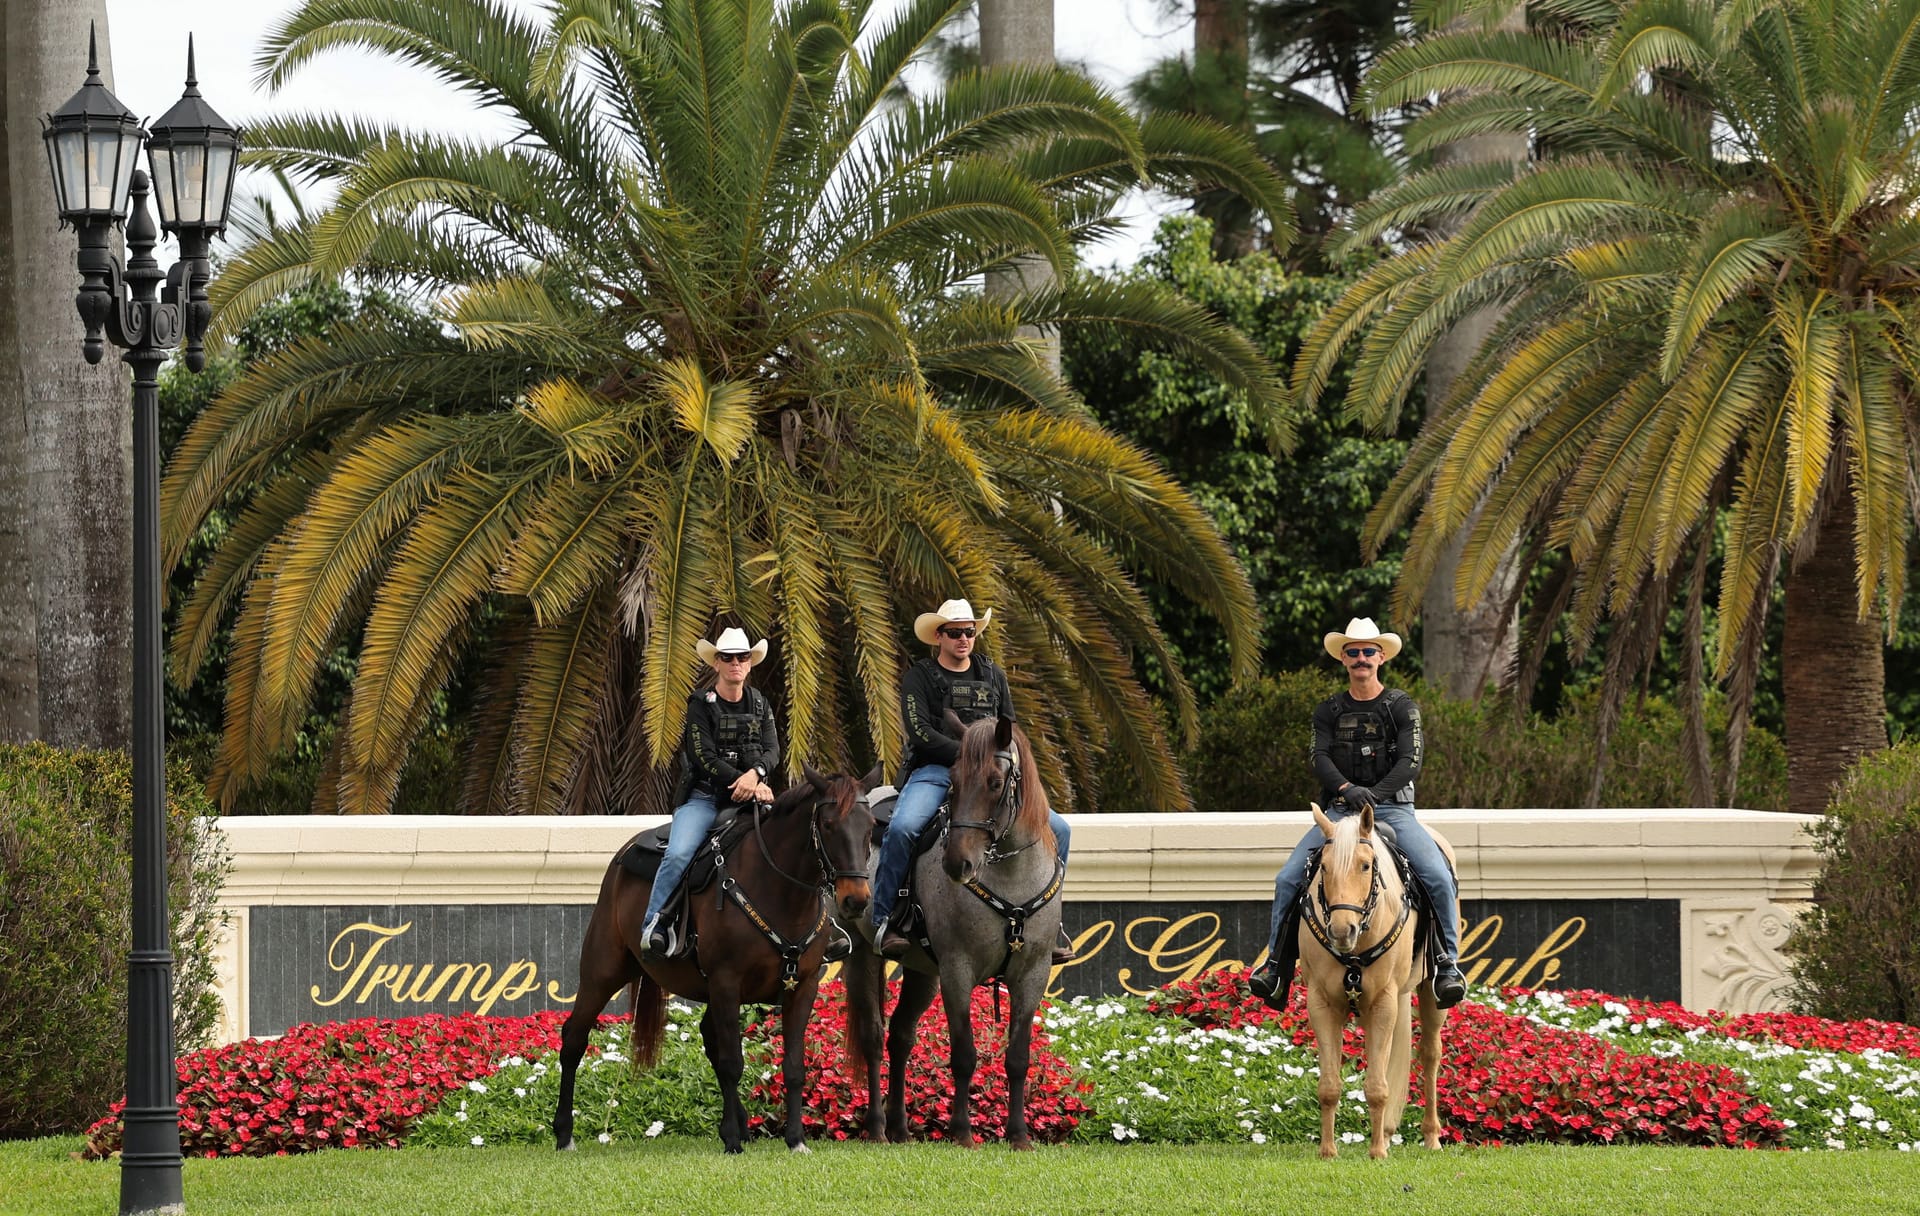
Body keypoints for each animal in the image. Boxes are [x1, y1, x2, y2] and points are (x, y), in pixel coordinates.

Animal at [552, 764, 875, 1152]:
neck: (778, 892)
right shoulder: (726, 982)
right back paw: (564, 1133)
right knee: (574, 1038)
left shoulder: (803, 985)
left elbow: (793, 1067)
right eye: (828, 825)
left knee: (708, 1036)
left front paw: (794, 1139)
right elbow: (732, 1061)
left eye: (871, 826)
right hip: (602, 972)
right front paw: (733, 1140)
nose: (856, 900)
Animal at [852, 714, 1075, 1152]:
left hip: (922, 971)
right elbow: (964, 1054)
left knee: (901, 1035)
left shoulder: (1033, 973)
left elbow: (1018, 1057)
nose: (958, 863)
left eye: (995, 781)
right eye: (952, 781)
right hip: (865, 953)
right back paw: (877, 1127)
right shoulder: (957, 970)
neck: (1010, 877)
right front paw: (961, 1132)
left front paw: (1019, 1136)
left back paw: (900, 1128)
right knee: (873, 1035)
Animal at [1305, 802, 1451, 1152]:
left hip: (1428, 994)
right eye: (1323, 867)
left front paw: (1377, 1153)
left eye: (1366, 865)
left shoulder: (1384, 1001)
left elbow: (1377, 1086)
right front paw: (1328, 1151)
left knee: (1429, 1054)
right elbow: (1329, 1086)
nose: (1342, 930)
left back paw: (1430, 1137)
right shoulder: (1321, 1002)